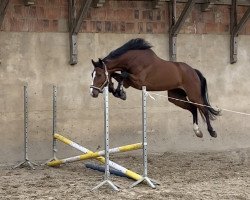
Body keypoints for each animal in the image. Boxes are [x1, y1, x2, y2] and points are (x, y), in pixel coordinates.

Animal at [89, 38, 219, 138]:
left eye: (99, 75)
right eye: (92, 74)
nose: (92, 93)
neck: (132, 59)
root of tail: (193, 71)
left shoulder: (139, 81)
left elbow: (122, 75)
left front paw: (120, 93)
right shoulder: (129, 82)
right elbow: (117, 75)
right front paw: (117, 91)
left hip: (194, 95)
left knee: (204, 109)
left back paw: (212, 132)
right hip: (175, 97)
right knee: (192, 108)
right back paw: (197, 131)